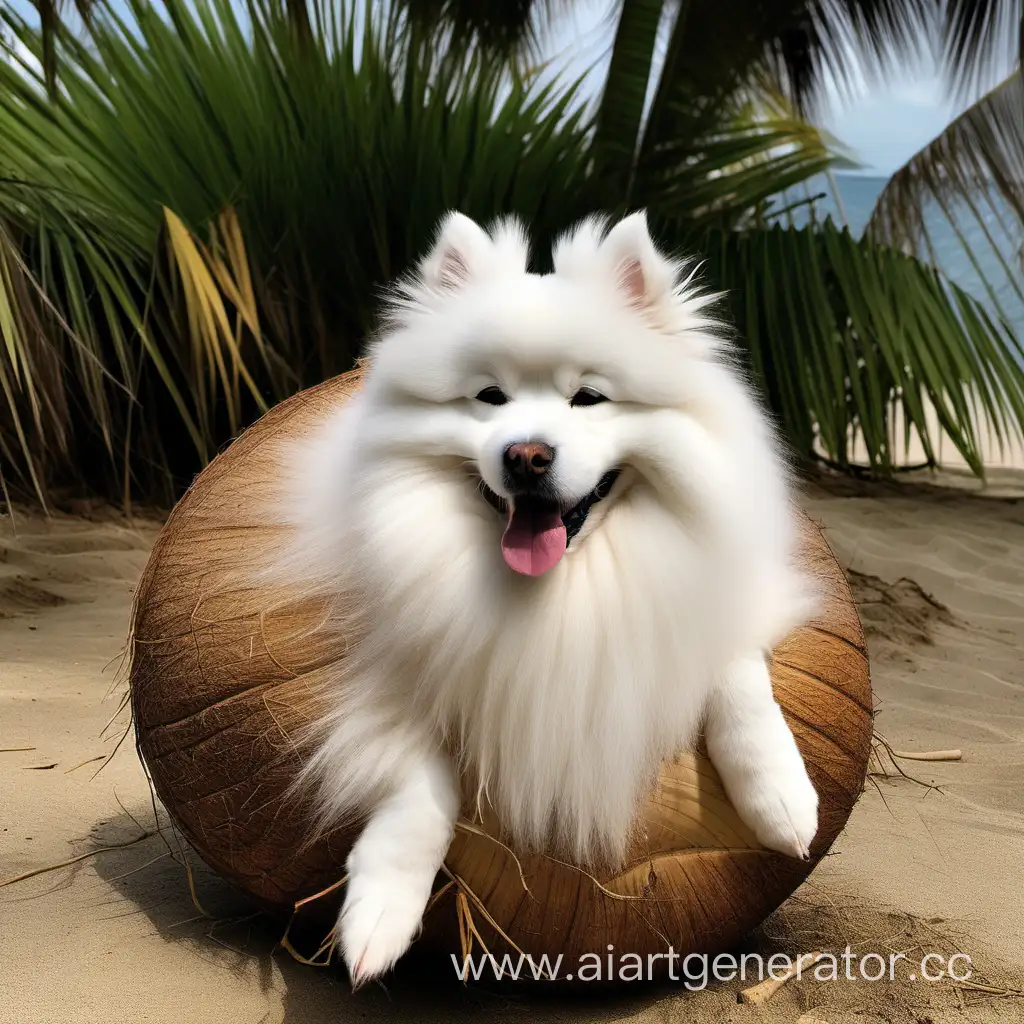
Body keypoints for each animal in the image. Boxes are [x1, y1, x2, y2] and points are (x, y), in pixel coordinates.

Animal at [268, 207, 819, 983]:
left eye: (587, 397)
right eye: (489, 397)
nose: (526, 455)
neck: (556, 589)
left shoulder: (725, 591)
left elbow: (739, 680)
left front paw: (780, 799)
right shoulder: (389, 666)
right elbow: (419, 788)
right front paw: (380, 917)